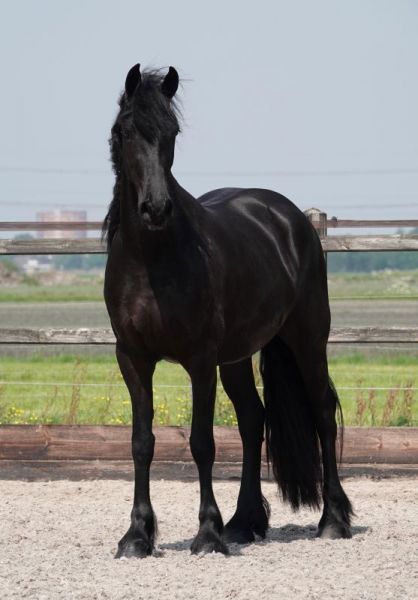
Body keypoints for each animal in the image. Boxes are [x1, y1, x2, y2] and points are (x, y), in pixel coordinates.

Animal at [102, 64, 352, 556]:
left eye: (172, 132)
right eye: (126, 131)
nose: (155, 208)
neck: (152, 259)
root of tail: (290, 218)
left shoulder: (200, 359)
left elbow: (202, 442)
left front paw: (207, 534)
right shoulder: (132, 358)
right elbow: (141, 442)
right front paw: (137, 536)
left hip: (308, 339)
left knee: (322, 412)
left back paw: (333, 520)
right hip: (236, 356)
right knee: (254, 420)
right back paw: (244, 522)